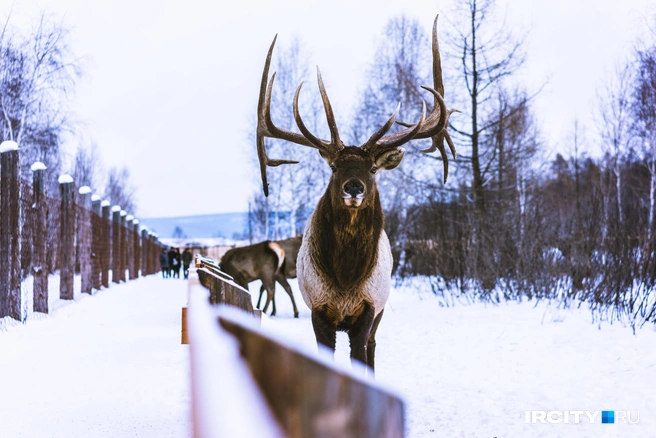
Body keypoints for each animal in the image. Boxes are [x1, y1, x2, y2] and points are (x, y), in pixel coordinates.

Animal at [256, 15, 456, 372]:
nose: (353, 186)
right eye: (334, 167)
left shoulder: (368, 307)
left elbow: (360, 356)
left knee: (373, 346)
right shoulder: (318, 308)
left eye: (373, 168)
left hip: (381, 309)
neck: (346, 280)